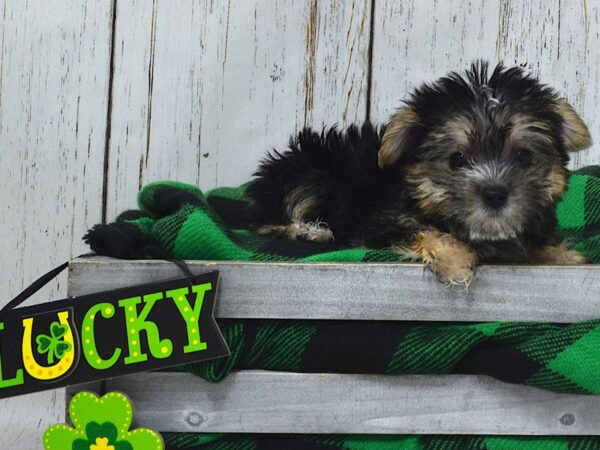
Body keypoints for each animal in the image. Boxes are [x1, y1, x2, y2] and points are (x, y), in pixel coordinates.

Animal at [245, 62, 592, 284]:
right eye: (457, 159)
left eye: (522, 155)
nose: (495, 194)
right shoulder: (384, 222)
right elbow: (423, 231)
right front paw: (455, 259)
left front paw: (559, 255)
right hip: (316, 173)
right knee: (273, 217)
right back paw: (308, 230)